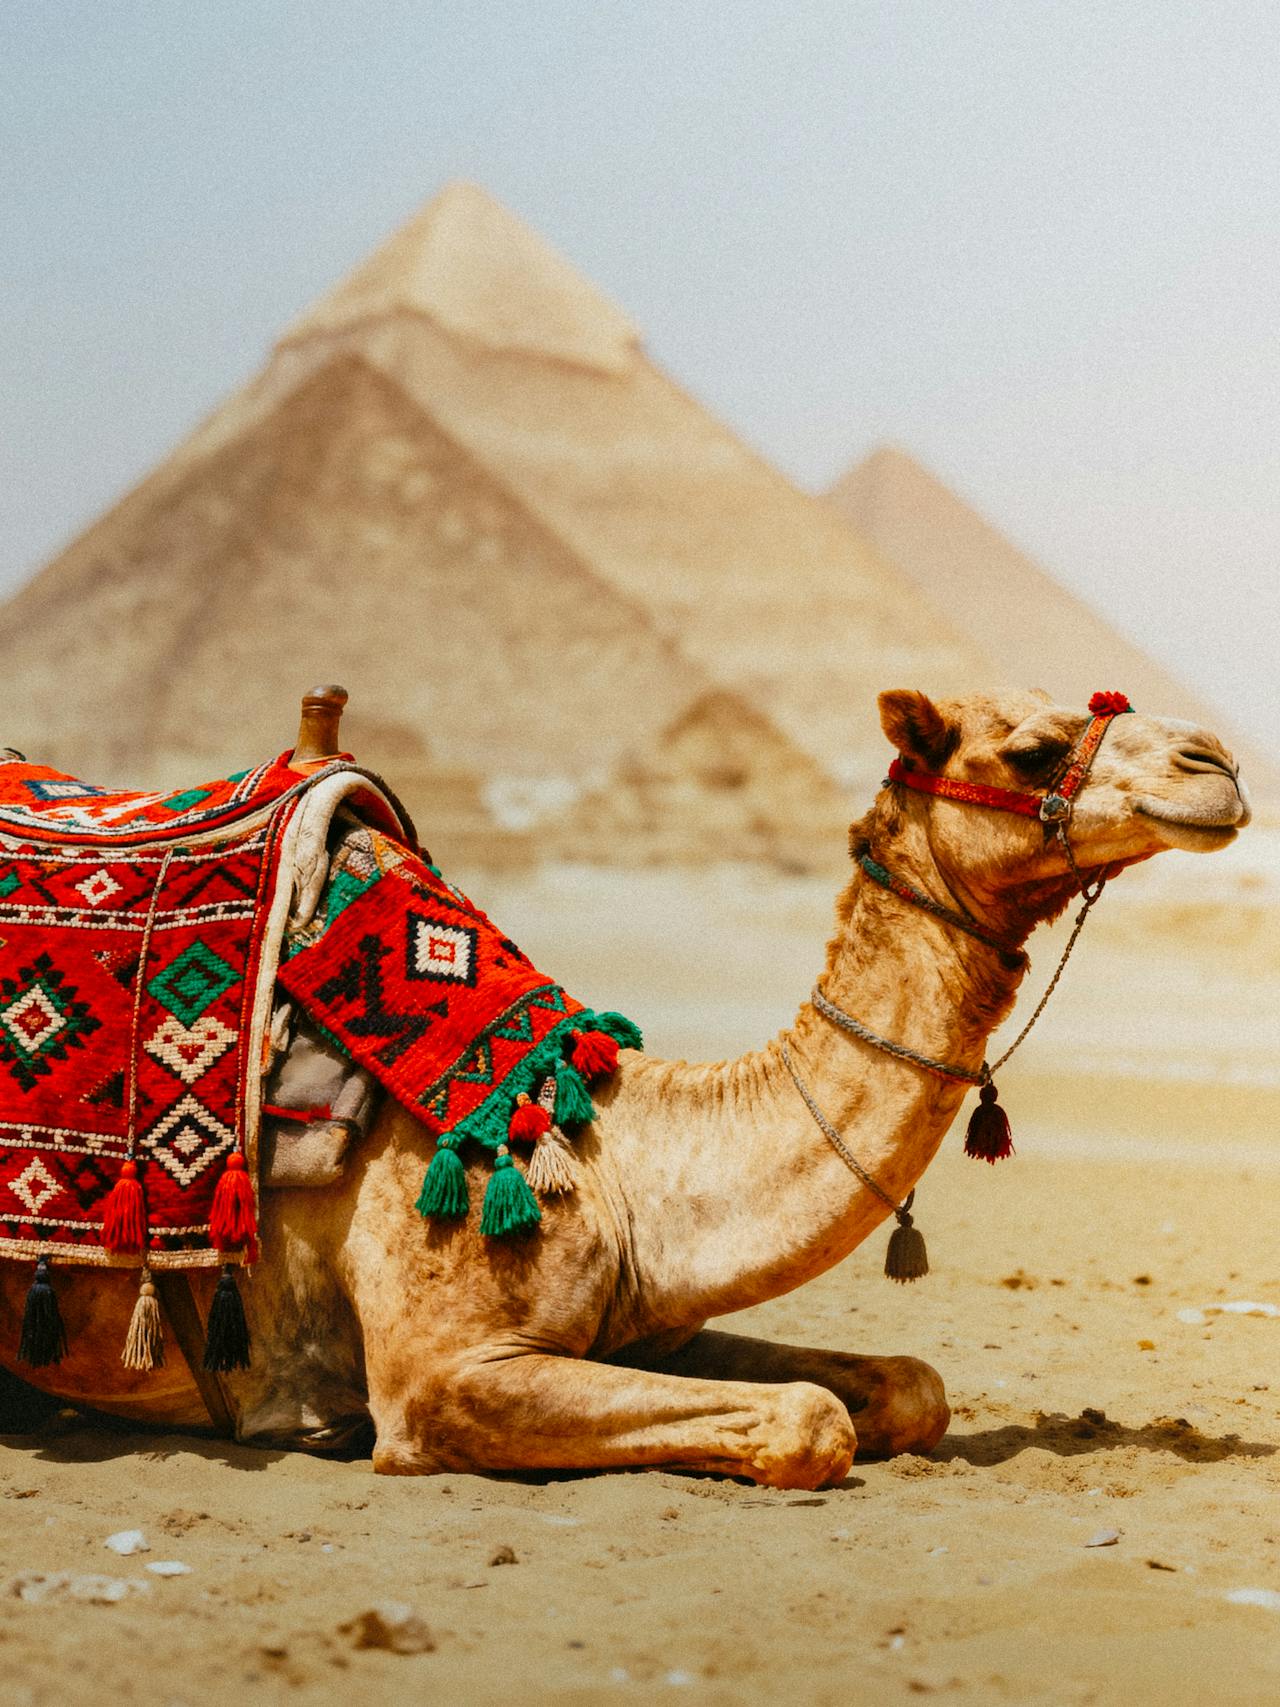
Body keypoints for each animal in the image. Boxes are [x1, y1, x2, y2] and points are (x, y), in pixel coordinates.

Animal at [0, 688, 1250, 1487]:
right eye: (1033, 749)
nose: (1217, 765)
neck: (610, 1150)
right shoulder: (437, 1378)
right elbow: (814, 1420)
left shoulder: (644, 1318)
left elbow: (906, 1386)